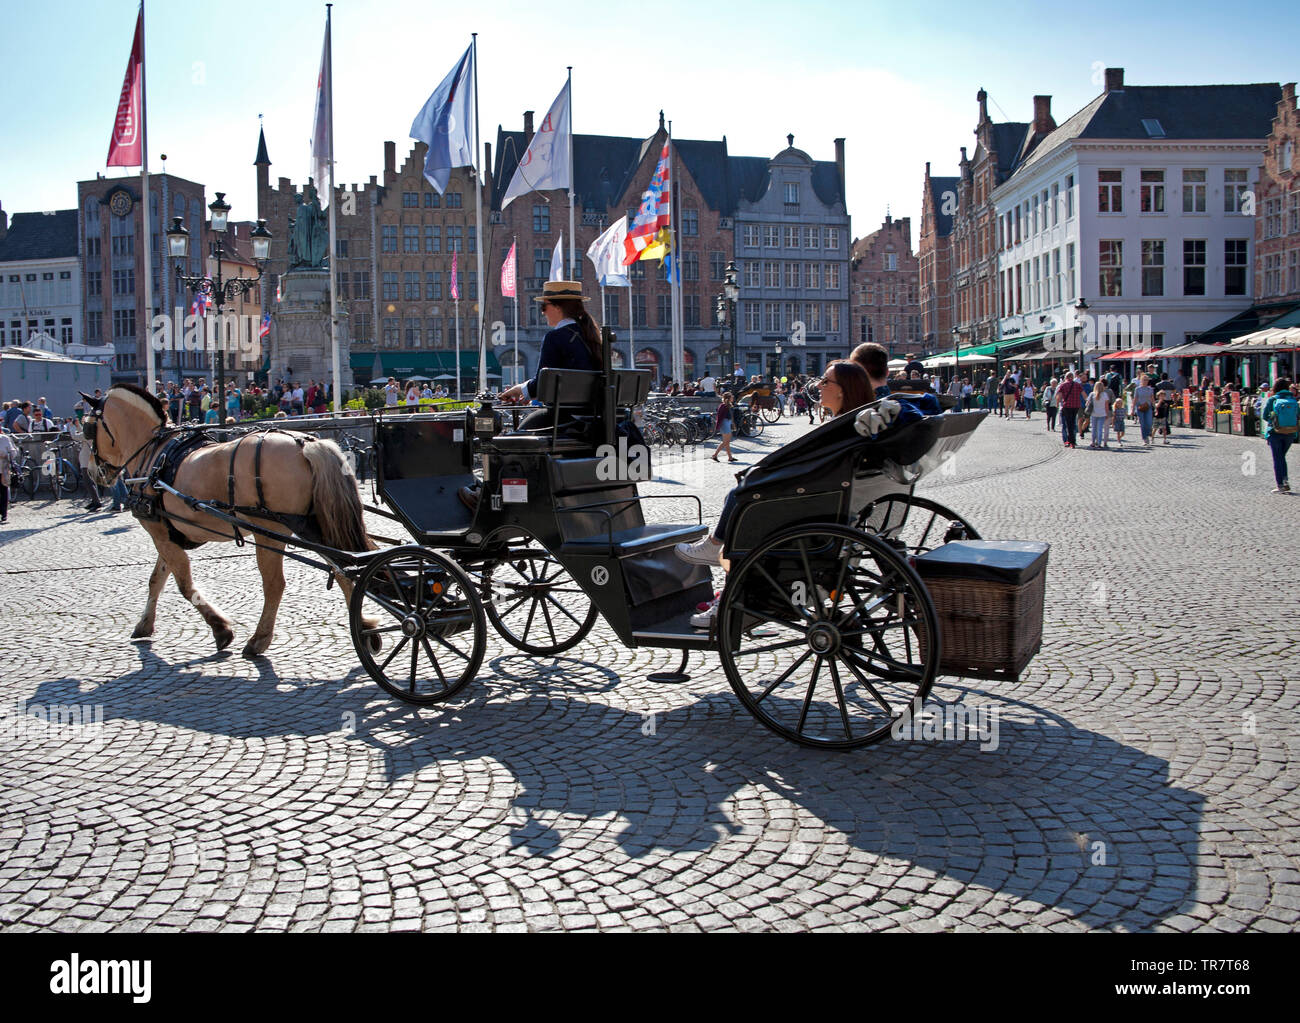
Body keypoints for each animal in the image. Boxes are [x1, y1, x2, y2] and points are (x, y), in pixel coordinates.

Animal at [80, 384, 379, 655]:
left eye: (87, 429)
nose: (95, 472)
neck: (154, 453)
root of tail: (307, 443)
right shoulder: (166, 532)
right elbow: (157, 579)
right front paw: (144, 624)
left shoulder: (159, 533)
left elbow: (184, 585)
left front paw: (220, 629)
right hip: (316, 525)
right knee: (344, 569)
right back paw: (365, 627)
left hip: (270, 531)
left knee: (277, 584)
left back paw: (259, 640)